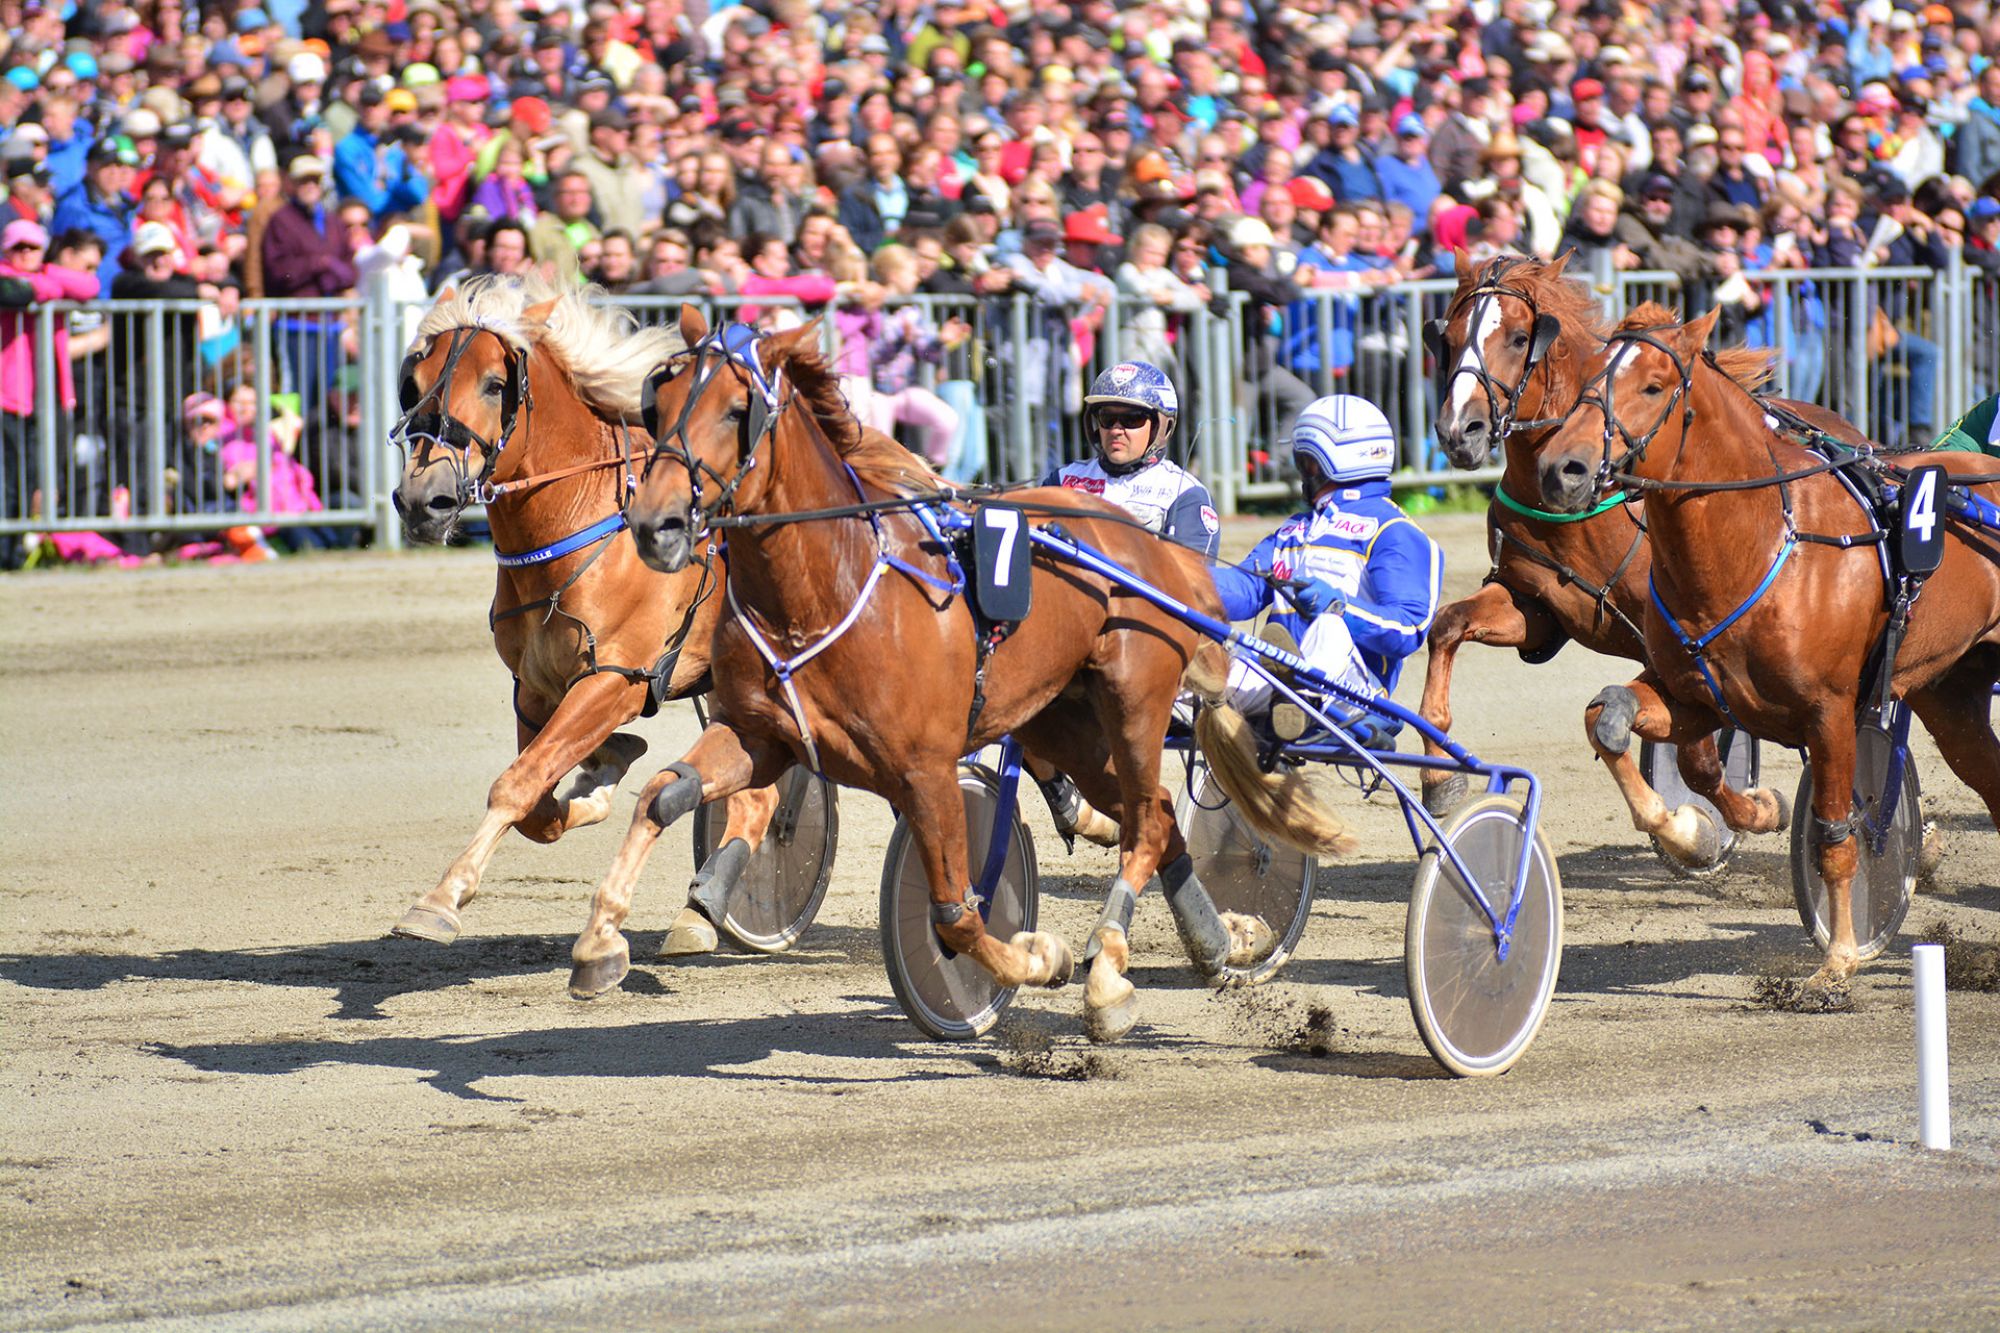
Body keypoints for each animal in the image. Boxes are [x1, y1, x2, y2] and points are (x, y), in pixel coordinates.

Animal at [386, 272, 792, 956]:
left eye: (494, 383)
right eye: (411, 385)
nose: (424, 500)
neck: (576, 525)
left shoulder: (616, 680)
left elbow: (518, 783)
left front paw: (438, 901)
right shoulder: (534, 687)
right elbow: (538, 805)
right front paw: (600, 778)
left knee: (763, 800)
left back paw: (703, 909)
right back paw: (699, 909)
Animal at [568, 314, 1344, 1040]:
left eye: (737, 410)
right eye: (659, 405)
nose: (655, 523)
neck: (826, 589)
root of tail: (1149, 547)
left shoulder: (925, 769)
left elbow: (955, 916)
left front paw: (1041, 957)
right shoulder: (763, 737)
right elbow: (662, 796)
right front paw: (600, 943)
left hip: (1135, 702)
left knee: (1147, 827)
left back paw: (1111, 974)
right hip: (1066, 725)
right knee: (1149, 812)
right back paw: (1218, 940)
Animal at [1424, 252, 1856, 860]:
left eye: (1517, 337)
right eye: (1450, 337)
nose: (1459, 431)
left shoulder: (1670, 647)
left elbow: (1695, 759)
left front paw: (1710, 827)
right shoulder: (1536, 610)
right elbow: (1447, 626)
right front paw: (1439, 777)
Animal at [1528, 304, 2000, 984]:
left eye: (1653, 387)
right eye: (1590, 376)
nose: (1560, 469)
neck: (1755, 543)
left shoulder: (1830, 713)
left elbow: (1835, 833)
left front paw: (1837, 960)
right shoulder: (1695, 695)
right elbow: (1621, 725)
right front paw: (1708, 824)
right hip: (1952, 696)